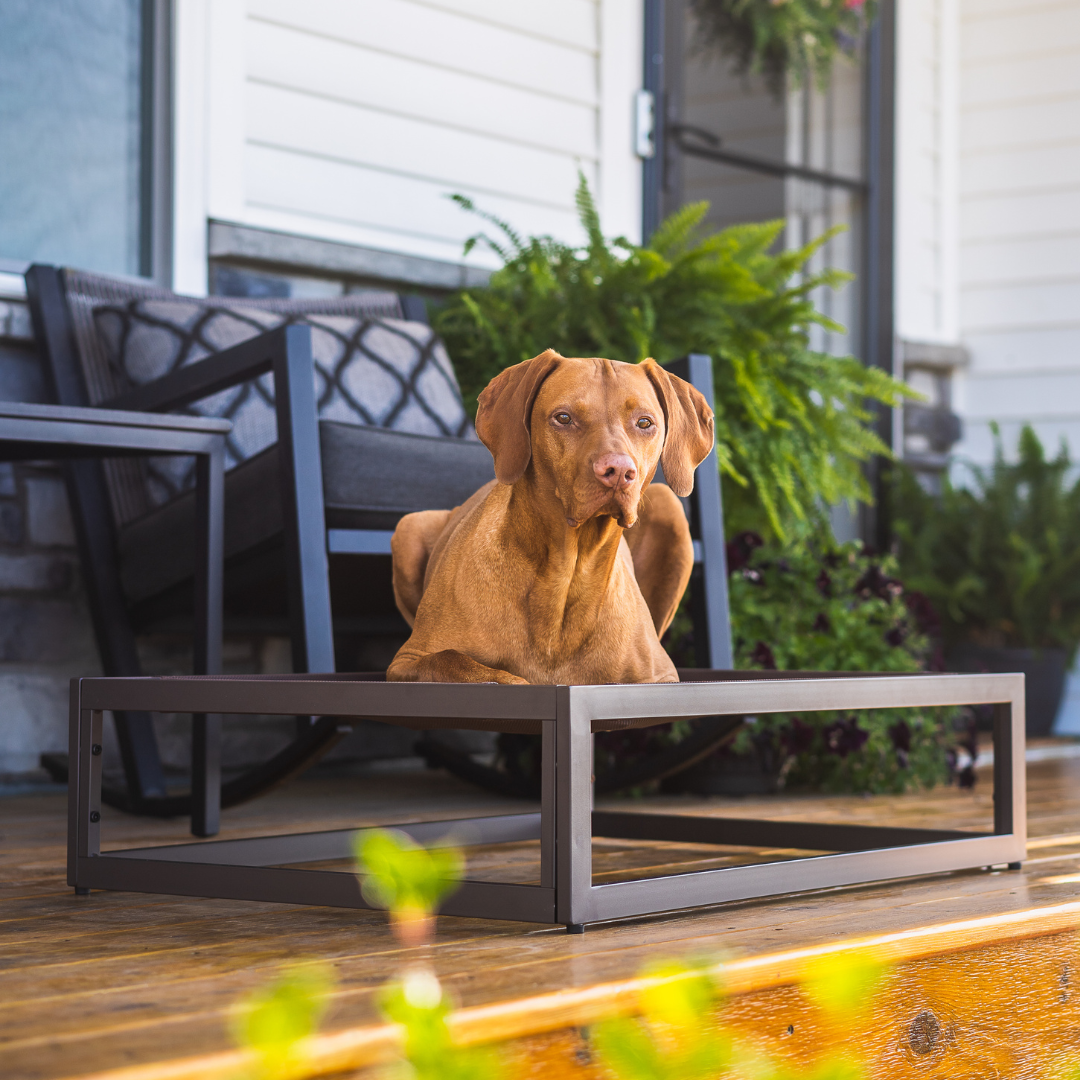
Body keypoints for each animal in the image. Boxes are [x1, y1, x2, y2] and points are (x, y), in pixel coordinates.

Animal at [384, 347, 712, 682]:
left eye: (644, 422)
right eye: (563, 418)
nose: (619, 471)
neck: (567, 575)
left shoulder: (661, 677)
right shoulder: (407, 660)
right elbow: (455, 661)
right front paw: (508, 679)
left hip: (669, 504)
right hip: (409, 526)